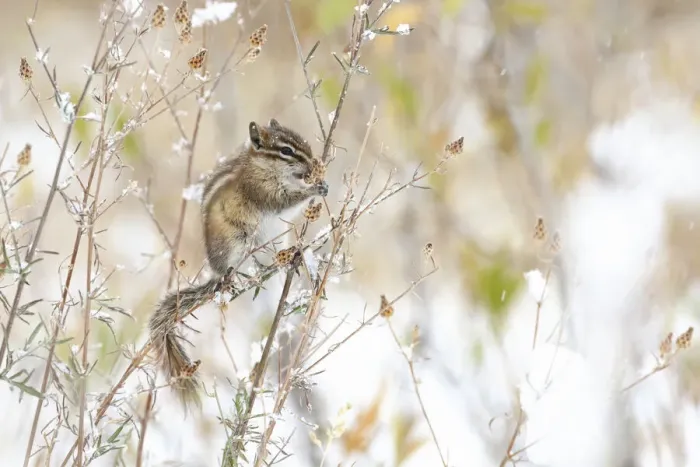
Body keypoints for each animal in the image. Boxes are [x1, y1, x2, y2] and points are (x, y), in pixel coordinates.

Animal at [148, 119, 328, 410]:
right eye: (286, 151)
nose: (313, 164)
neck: (262, 166)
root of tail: (215, 273)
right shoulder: (264, 192)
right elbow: (285, 203)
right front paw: (314, 188)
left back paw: (293, 256)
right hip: (236, 243)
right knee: (233, 270)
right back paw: (231, 279)